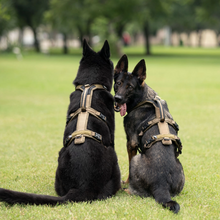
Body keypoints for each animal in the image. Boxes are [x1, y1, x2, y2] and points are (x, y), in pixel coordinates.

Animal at [114, 54, 185, 213]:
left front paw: (126, 181)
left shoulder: (131, 143)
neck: (143, 98)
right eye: (118, 83)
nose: (117, 99)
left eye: (130, 87)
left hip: (136, 160)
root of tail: (161, 183)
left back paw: (124, 189)